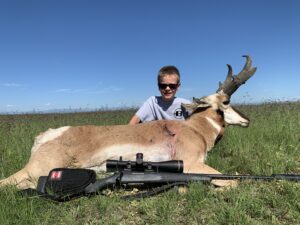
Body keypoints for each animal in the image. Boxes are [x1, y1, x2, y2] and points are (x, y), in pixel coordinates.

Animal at [0, 55, 255, 189]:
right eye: (226, 101)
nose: (247, 120)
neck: (194, 129)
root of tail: (47, 135)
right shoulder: (192, 164)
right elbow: (234, 182)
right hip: (35, 170)